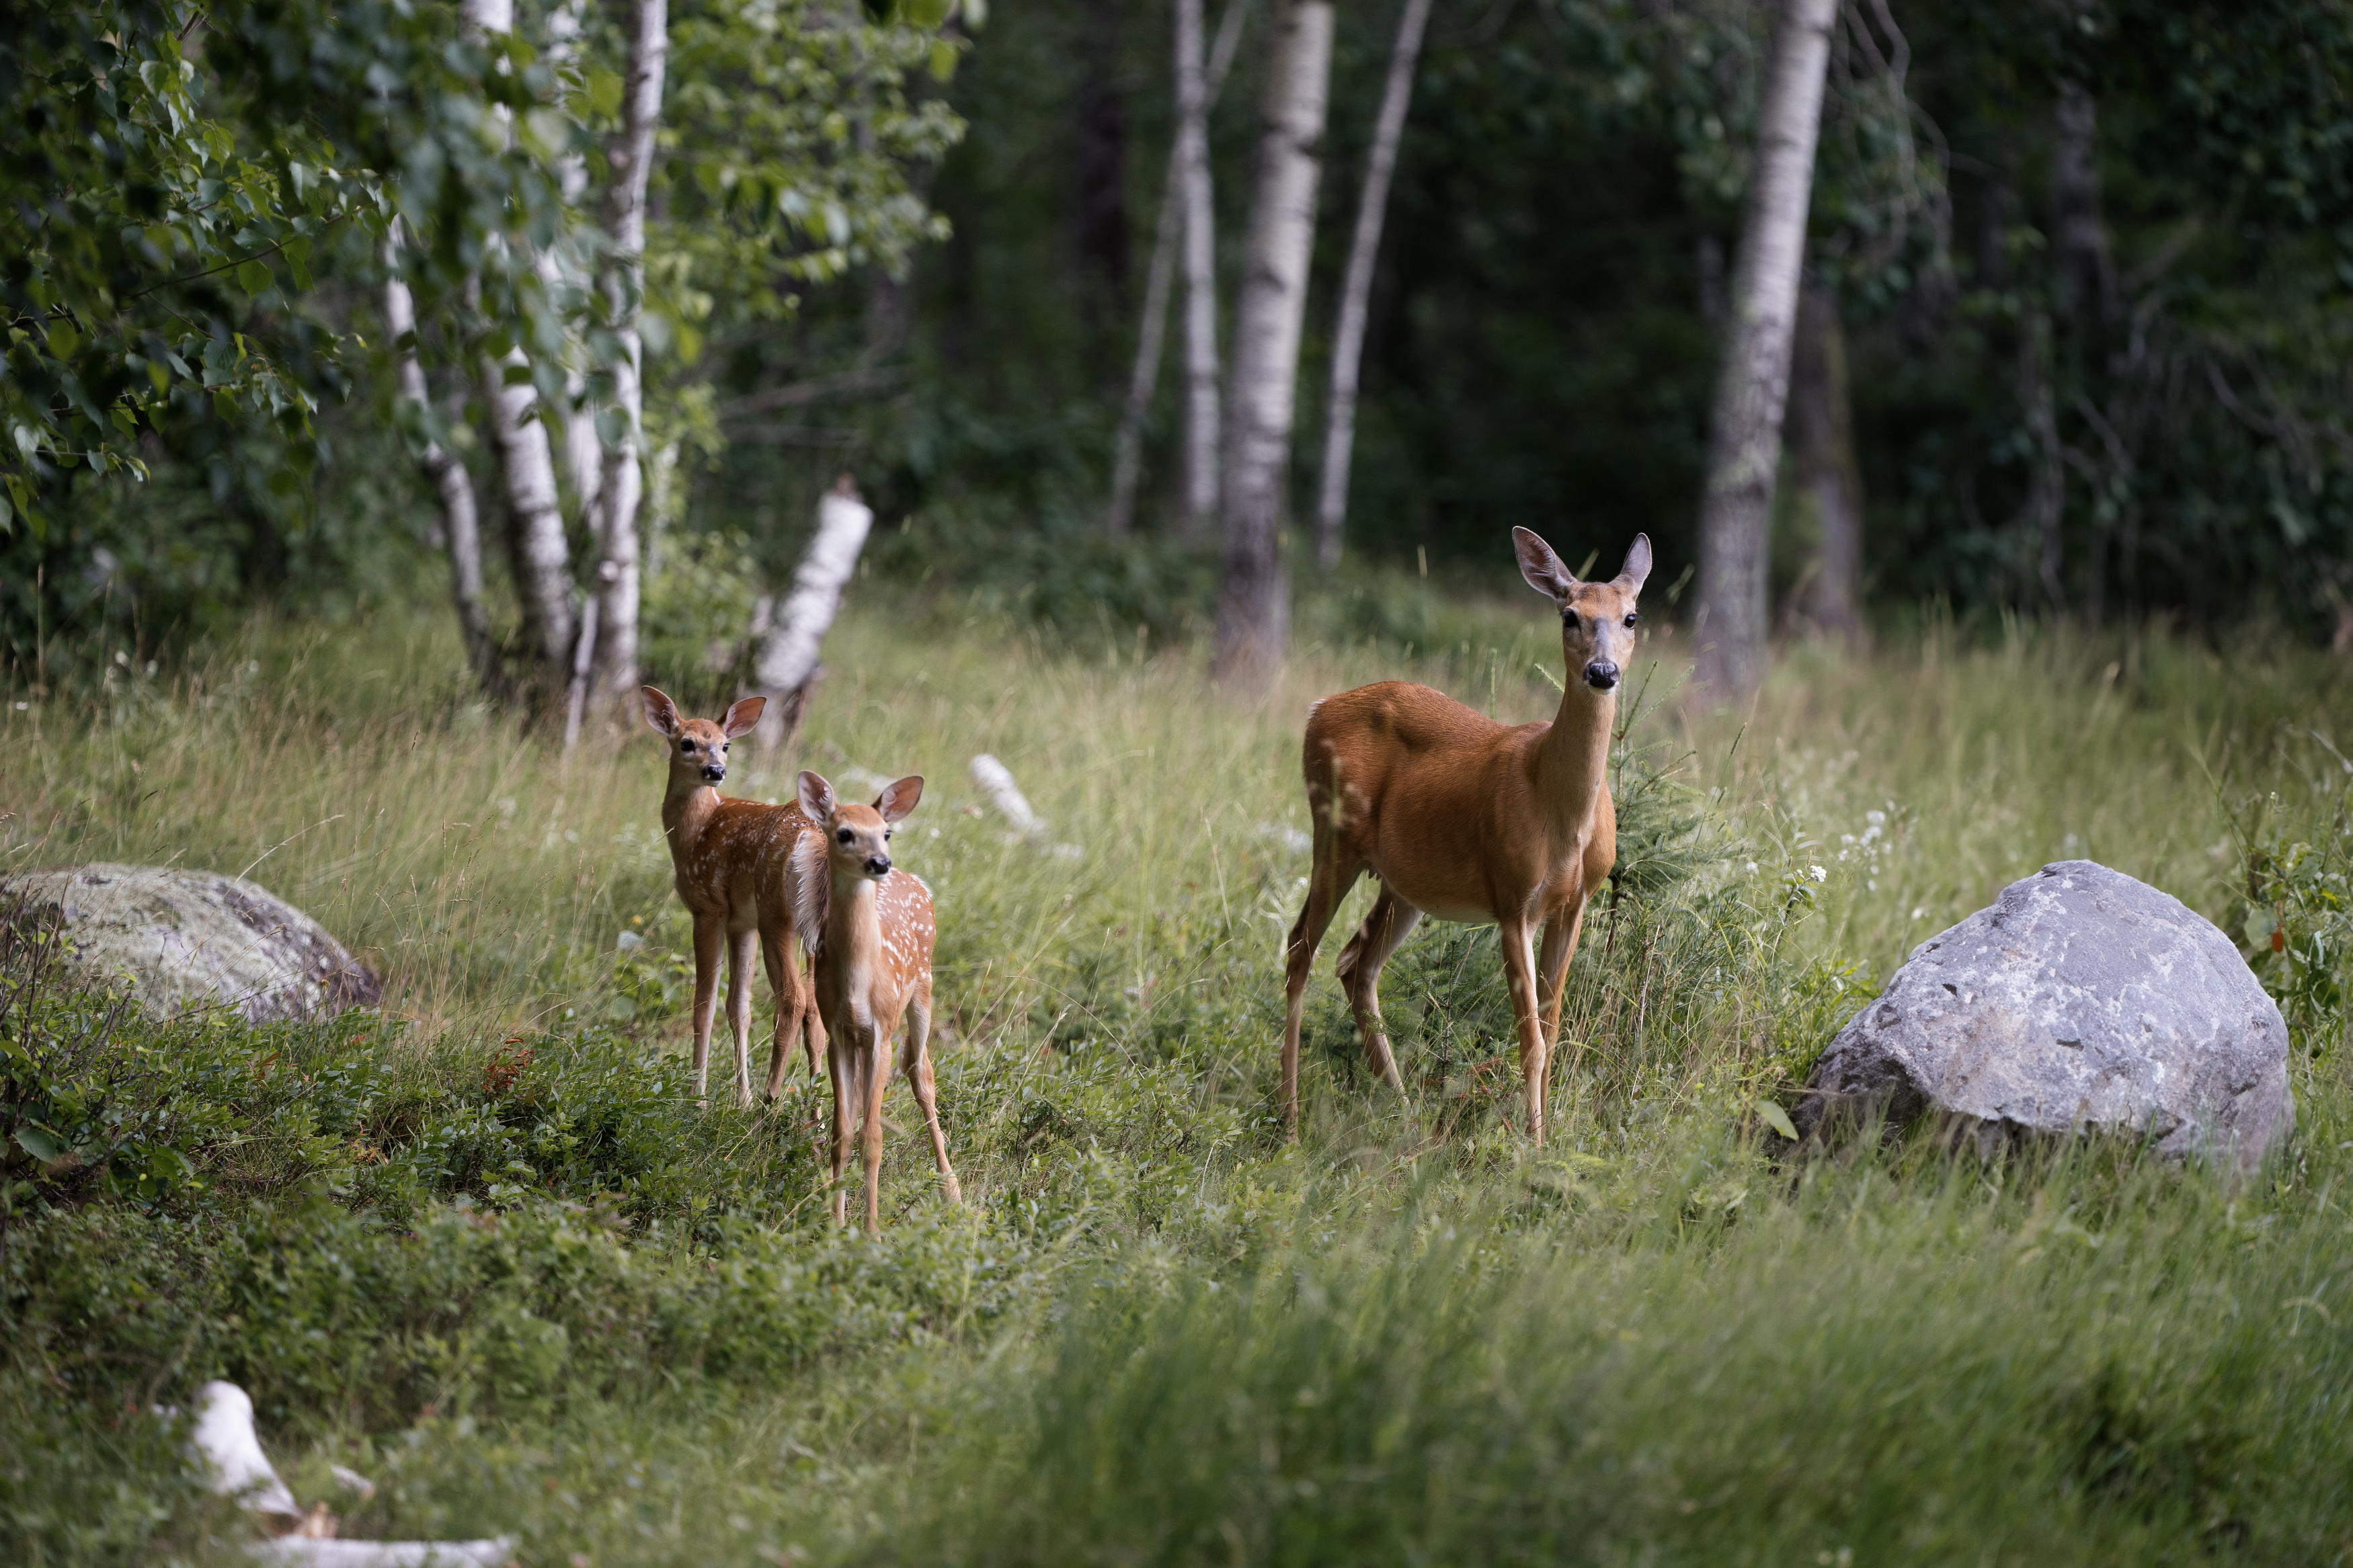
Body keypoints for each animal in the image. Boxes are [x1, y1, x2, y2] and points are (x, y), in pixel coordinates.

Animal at [645, 686, 828, 1104]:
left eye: (725, 745)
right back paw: (815, 1114)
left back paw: (771, 1100)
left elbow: (704, 1005)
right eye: (687, 743)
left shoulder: (708, 909)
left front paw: (697, 1098)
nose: (715, 771)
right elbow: (738, 1008)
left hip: (777, 916)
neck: (697, 830)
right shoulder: (742, 924)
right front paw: (739, 1098)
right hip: (814, 928)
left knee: (793, 1000)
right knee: (815, 1009)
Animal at [795, 771, 960, 1222]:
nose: (879, 863)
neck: (857, 983)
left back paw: (952, 1190)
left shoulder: (881, 1031)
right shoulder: (839, 1033)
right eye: (844, 833)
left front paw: (870, 1229)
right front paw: (836, 1224)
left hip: (923, 988)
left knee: (921, 1072)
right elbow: (843, 1133)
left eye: (886, 832)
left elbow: (872, 1138)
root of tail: (914, 880)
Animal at [1289, 526, 1657, 1142]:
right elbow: (1530, 1040)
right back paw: (1291, 1118)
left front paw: (1547, 1133)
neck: (1562, 812)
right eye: (1569, 615)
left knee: (1355, 963)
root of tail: (1317, 709)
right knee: (1300, 950)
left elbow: (1552, 1031)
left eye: (1631, 617)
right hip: (1333, 835)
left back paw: (1406, 1111)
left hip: (1403, 882)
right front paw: (1532, 1143)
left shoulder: (1575, 902)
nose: (1603, 672)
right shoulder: (1511, 898)